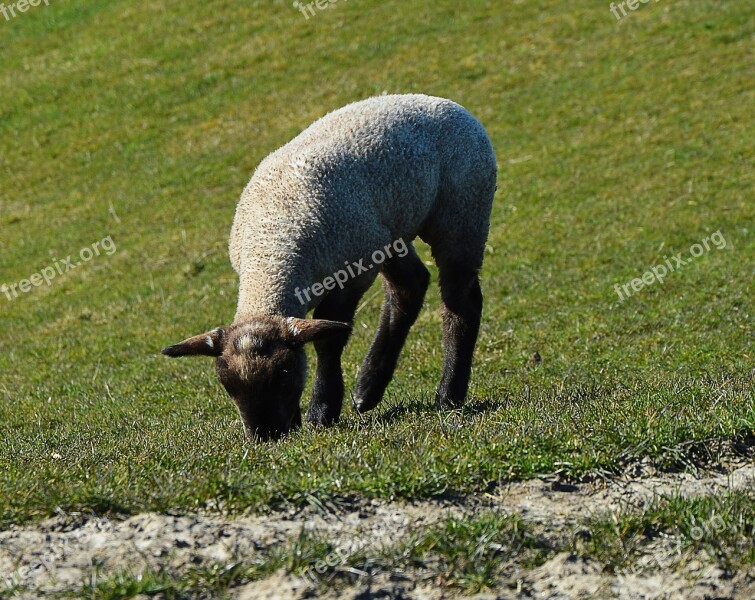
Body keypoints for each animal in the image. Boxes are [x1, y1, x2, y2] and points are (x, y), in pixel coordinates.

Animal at [162, 95, 500, 440]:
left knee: (460, 299)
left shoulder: (353, 274)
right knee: (410, 287)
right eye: (227, 386)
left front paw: (321, 412)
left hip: (461, 212)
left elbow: (329, 338)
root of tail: (446, 103)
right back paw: (367, 391)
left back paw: (449, 395)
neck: (272, 246)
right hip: (387, 234)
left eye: (284, 375)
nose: (267, 436)